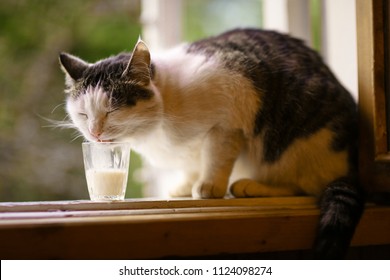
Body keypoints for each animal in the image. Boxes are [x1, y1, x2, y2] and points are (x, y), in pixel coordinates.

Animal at [58, 27, 366, 258]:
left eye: (111, 111)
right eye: (83, 114)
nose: (94, 132)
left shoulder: (229, 119)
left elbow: (217, 156)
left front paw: (208, 187)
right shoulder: (191, 149)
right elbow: (192, 164)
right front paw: (185, 186)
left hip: (300, 143)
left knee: (303, 186)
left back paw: (250, 186)